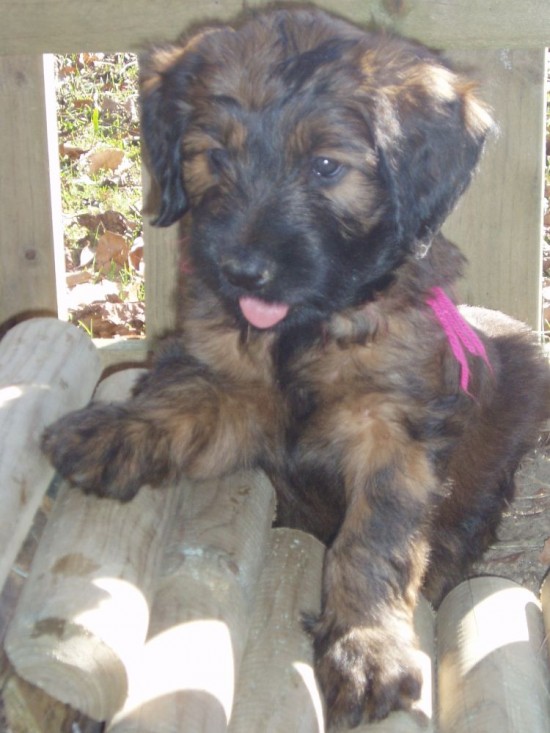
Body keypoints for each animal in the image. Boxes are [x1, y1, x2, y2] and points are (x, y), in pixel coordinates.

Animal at [42, 8, 550, 727]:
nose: (242, 270)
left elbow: (373, 541)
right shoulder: (237, 392)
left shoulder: (394, 434)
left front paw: (367, 648)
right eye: (215, 156)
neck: (306, 328)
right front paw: (114, 432)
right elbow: (179, 402)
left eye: (326, 166)